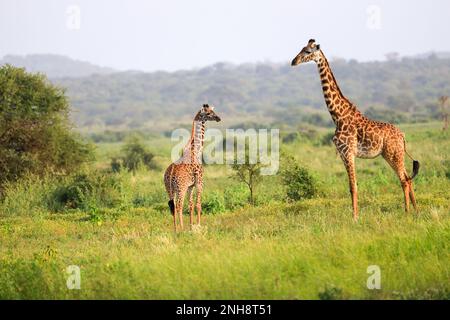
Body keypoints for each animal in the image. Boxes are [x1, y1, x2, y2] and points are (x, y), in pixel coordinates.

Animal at [292, 39, 418, 220]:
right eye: (301, 49)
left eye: (308, 51)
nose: (293, 61)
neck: (337, 115)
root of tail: (403, 136)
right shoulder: (343, 154)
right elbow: (351, 186)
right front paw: (355, 216)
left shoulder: (348, 152)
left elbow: (353, 186)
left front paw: (355, 218)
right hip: (391, 154)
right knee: (408, 177)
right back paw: (416, 210)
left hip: (393, 153)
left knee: (404, 179)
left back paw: (407, 212)